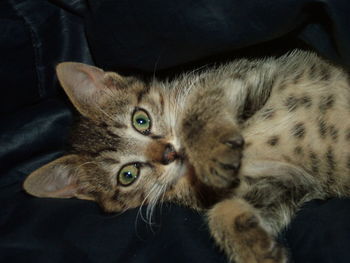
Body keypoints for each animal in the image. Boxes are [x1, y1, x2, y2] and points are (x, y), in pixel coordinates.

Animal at [23, 50, 350, 263]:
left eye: (140, 120)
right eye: (127, 175)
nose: (169, 153)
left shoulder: (245, 74)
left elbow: (196, 114)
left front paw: (209, 152)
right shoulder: (285, 182)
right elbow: (222, 212)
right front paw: (254, 248)